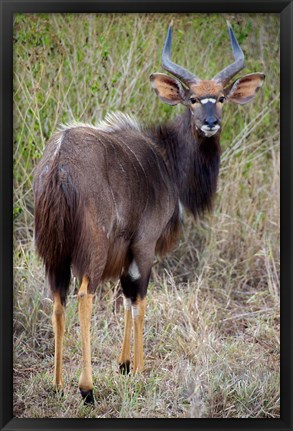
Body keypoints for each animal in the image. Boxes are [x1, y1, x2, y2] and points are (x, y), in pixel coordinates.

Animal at [33, 20, 264, 404]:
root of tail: (59, 164)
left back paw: (56, 383)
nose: (210, 122)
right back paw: (86, 388)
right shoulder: (145, 243)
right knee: (84, 296)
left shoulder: (127, 251)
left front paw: (124, 364)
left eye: (220, 97)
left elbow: (127, 297)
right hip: (92, 250)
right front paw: (139, 369)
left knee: (57, 299)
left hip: (53, 253)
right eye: (192, 99)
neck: (165, 158)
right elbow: (139, 299)